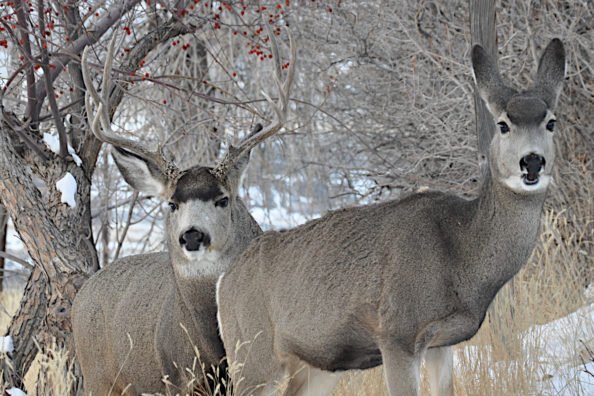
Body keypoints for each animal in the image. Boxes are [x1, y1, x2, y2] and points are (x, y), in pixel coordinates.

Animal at [71, 29, 294, 394]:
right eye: (171, 203)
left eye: (223, 199)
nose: (192, 235)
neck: (216, 351)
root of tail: (80, 297)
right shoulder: (179, 379)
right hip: (98, 379)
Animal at [217, 38, 564, 396]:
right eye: (503, 124)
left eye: (551, 122)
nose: (532, 161)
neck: (460, 253)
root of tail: (225, 279)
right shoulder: (398, 332)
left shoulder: (442, 342)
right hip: (252, 351)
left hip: (319, 365)